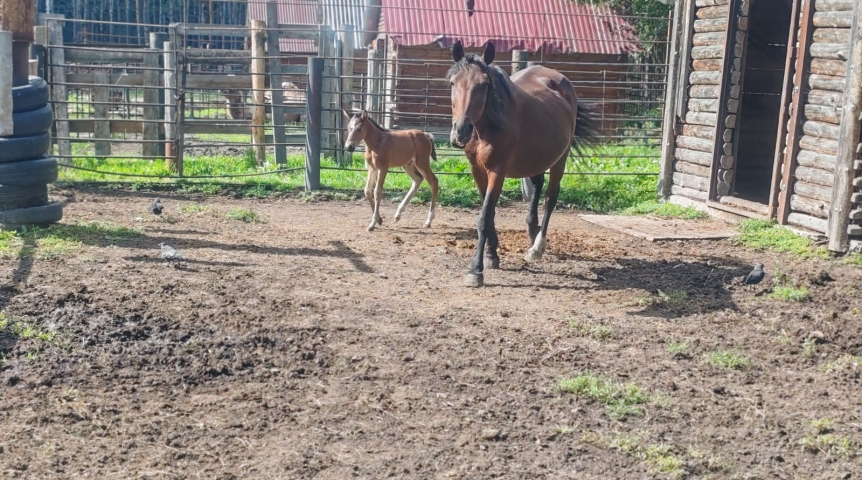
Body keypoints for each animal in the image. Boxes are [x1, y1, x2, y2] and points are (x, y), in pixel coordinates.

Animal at [447, 41, 596, 287]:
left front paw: (476, 270)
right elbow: (489, 215)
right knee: (537, 185)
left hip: (560, 158)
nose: (461, 132)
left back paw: (537, 246)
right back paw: (532, 231)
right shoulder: (477, 170)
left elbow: (484, 218)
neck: (487, 128)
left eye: (484, 84)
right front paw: (492, 256)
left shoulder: (497, 172)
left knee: (550, 197)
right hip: (535, 158)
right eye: (453, 82)